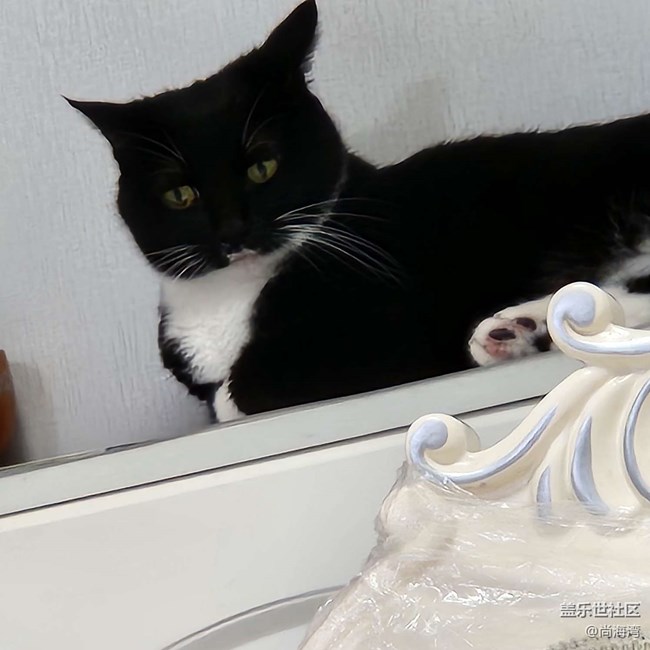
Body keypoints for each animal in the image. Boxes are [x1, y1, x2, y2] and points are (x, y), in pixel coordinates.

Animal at [68, 0, 650, 423]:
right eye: (181, 195)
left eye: (263, 167)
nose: (233, 231)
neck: (228, 297)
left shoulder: (395, 323)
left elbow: (237, 392)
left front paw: (232, 395)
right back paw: (526, 328)